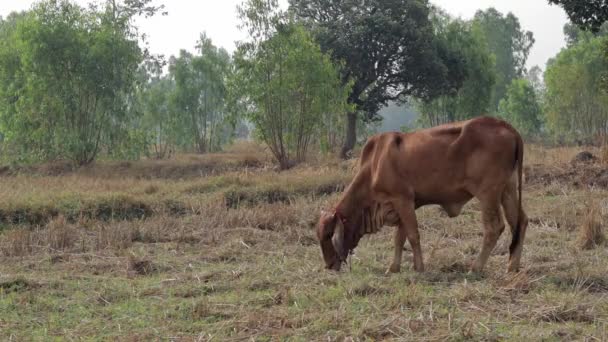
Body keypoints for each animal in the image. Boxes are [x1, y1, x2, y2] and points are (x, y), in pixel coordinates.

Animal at [318, 116, 528, 274]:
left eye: (328, 236)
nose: (329, 265)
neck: (374, 166)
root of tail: (506, 126)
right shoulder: (403, 205)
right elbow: (399, 238)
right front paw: (393, 267)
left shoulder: (403, 200)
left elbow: (412, 235)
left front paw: (419, 267)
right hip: (507, 190)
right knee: (520, 222)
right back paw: (512, 266)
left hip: (488, 194)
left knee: (494, 228)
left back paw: (475, 268)